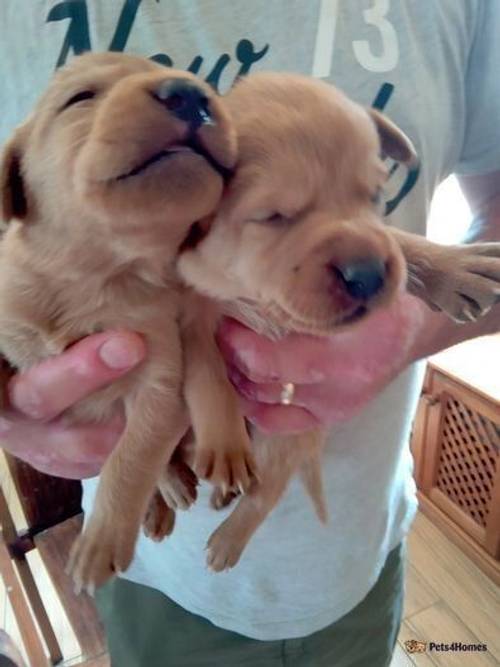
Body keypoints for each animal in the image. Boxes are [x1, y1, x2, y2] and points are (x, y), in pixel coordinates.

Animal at [0, 53, 250, 596]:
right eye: (79, 98)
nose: (191, 94)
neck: (99, 274)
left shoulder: (161, 381)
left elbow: (131, 457)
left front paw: (99, 544)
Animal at [177, 74, 500, 576]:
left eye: (376, 195)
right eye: (275, 216)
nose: (366, 274)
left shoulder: (380, 234)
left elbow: (400, 241)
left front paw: (455, 267)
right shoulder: (186, 307)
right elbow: (207, 371)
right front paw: (224, 445)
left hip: (284, 437)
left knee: (267, 489)